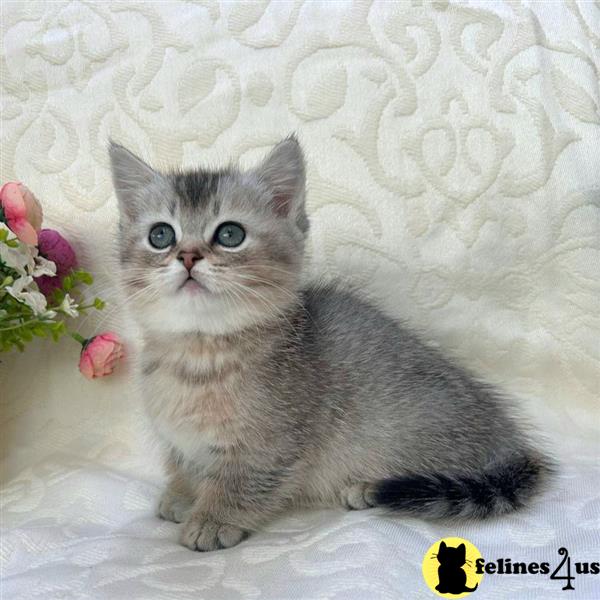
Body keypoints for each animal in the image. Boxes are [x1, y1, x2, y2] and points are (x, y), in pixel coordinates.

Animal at [109, 136, 552, 552]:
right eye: (161, 235)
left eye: (230, 234)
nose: (187, 256)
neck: (197, 356)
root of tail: (510, 443)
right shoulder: (181, 440)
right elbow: (184, 463)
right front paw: (183, 494)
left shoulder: (273, 443)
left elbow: (243, 481)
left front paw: (212, 518)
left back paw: (366, 489)